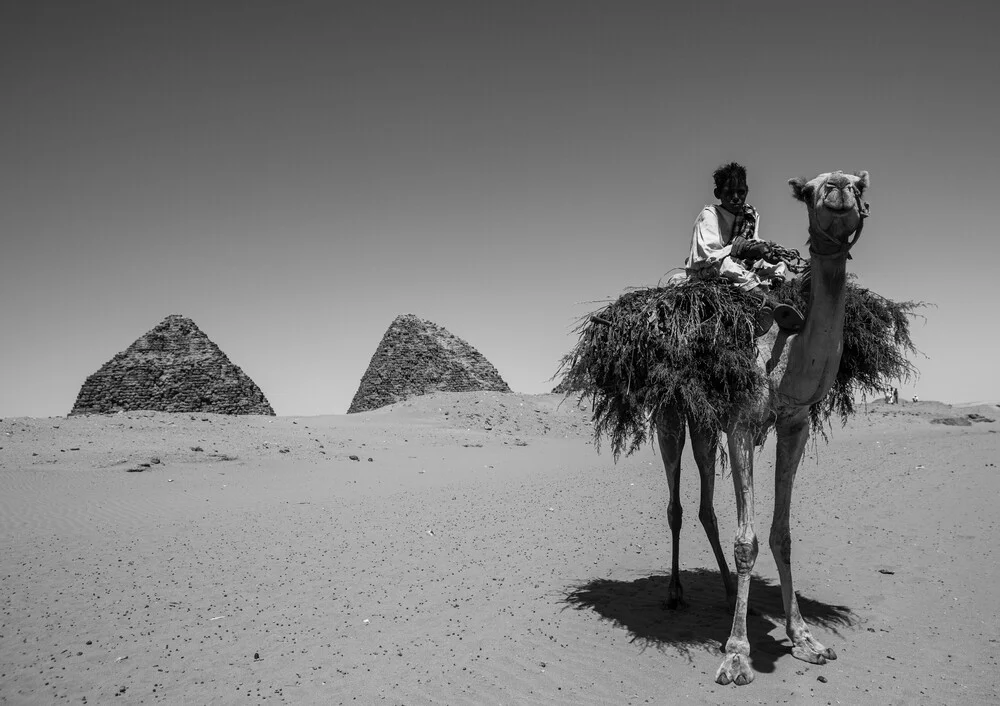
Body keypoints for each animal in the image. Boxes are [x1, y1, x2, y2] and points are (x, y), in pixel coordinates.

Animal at [656, 169, 868, 680]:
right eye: (808, 191)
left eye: (860, 185)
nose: (837, 186)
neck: (784, 352)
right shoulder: (742, 426)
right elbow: (747, 541)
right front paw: (736, 654)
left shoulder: (794, 424)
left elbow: (781, 534)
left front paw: (806, 638)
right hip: (671, 417)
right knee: (675, 503)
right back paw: (675, 593)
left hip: (705, 426)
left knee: (705, 505)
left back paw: (734, 594)